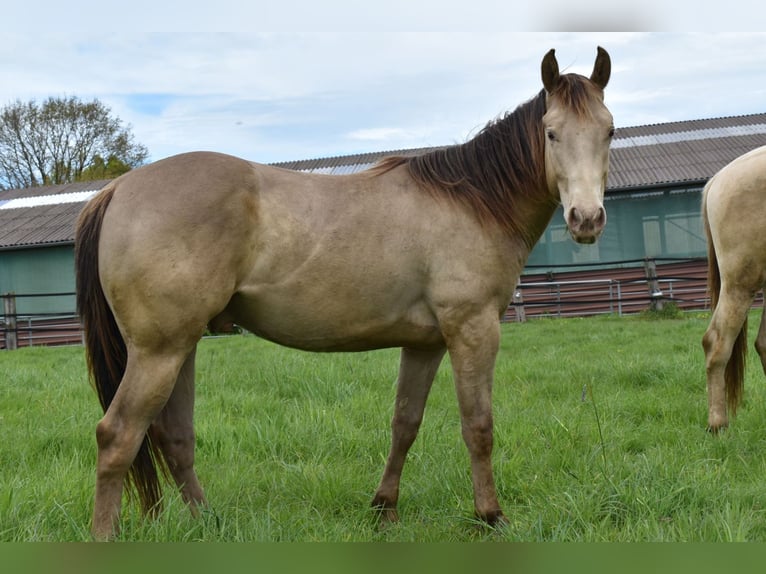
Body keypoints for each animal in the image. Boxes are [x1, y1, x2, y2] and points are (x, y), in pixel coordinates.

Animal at [75, 48, 616, 540]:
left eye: (608, 131)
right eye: (551, 132)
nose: (587, 219)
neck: (471, 202)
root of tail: (118, 189)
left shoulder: (425, 344)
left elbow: (405, 424)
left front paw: (384, 510)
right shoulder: (473, 331)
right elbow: (478, 427)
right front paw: (490, 516)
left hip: (181, 347)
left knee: (173, 436)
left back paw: (209, 523)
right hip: (158, 351)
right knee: (117, 435)